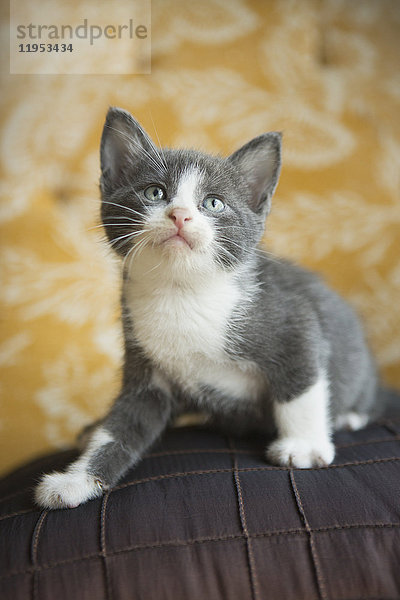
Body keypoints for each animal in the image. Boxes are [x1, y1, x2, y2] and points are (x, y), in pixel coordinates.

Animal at [33, 109, 378, 510]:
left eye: (213, 203)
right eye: (155, 192)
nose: (180, 215)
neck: (182, 294)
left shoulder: (293, 321)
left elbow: (300, 385)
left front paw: (304, 446)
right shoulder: (147, 373)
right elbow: (120, 429)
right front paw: (76, 480)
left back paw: (350, 416)